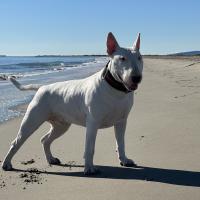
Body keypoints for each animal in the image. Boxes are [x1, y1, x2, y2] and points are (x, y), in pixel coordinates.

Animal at [1, 32, 142, 174]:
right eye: (122, 58)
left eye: (139, 57)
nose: (137, 78)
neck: (116, 90)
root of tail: (41, 87)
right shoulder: (93, 123)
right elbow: (90, 148)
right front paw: (89, 168)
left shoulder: (121, 122)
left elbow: (121, 143)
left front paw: (124, 160)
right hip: (31, 121)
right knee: (16, 142)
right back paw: (6, 164)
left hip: (61, 126)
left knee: (45, 140)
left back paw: (51, 159)